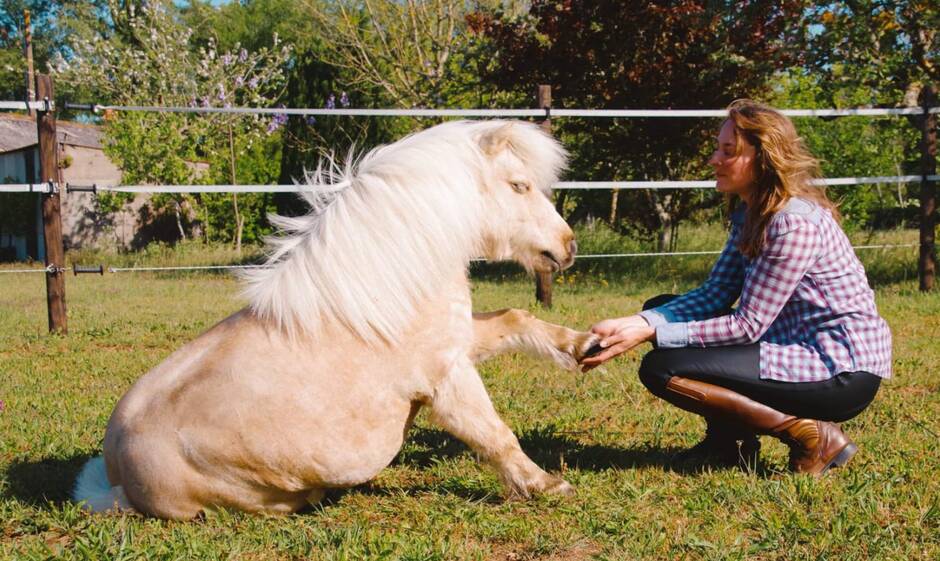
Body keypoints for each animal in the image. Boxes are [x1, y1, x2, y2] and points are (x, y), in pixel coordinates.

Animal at [77, 120, 600, 520]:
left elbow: (519, 319)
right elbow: (494, 434)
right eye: (519, 185)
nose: (568, 245)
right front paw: (546, 485)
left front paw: (584, 347)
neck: (386, 284)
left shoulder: (460, 341)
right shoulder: (446, 380)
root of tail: (116, 477)